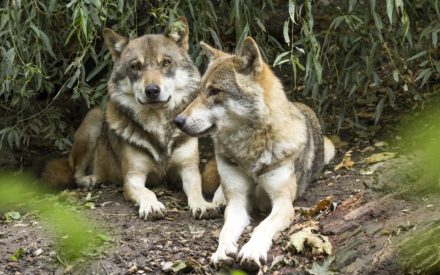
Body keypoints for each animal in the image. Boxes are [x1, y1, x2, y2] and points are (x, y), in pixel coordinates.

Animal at [42, 16, 218, 220]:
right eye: (135, 66)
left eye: (166, 63)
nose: (152, 90)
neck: (158, 125)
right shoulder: (133, 176)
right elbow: (147, 192)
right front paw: (152, 206)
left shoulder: (188, 169)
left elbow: (196, 189)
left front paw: (203, 205)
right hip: (93, 122)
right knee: (76, 171)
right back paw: (91, 179)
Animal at [174, 37, 336, 272]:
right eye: (200, 91)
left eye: (215, 91)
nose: (177, 121)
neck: (249, 151)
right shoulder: (239, 201)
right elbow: (226, 230)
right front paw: (222, 252)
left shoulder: (283, 203)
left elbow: (263, 226)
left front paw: (251, 251)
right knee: (221, 191)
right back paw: (218, 201)